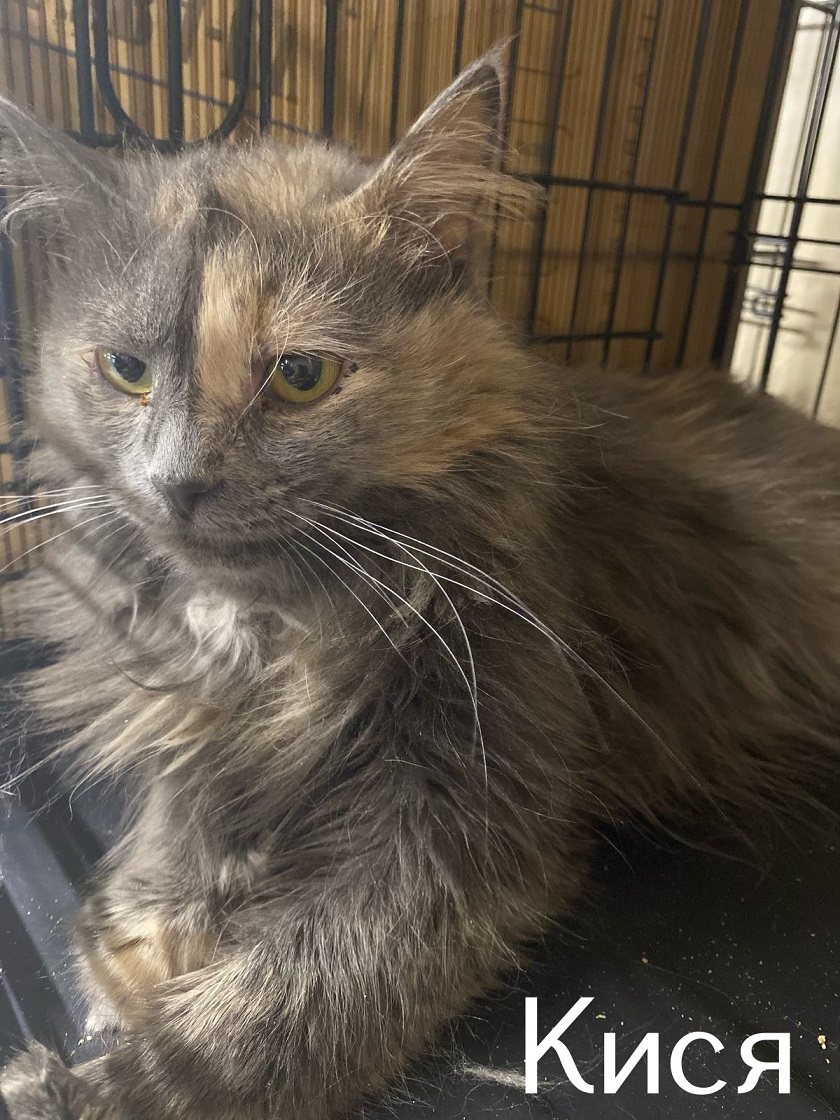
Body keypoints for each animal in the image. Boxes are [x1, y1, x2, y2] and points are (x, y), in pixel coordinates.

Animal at [1, 46, 840, 1120]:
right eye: (126, 370)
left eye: (302, 377)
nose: (179, 484)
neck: (278, 626)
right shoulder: (197, 711)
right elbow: (181, 804)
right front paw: (139, 934)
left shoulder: (457, 829)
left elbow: (280, 1005)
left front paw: (88, 1088)